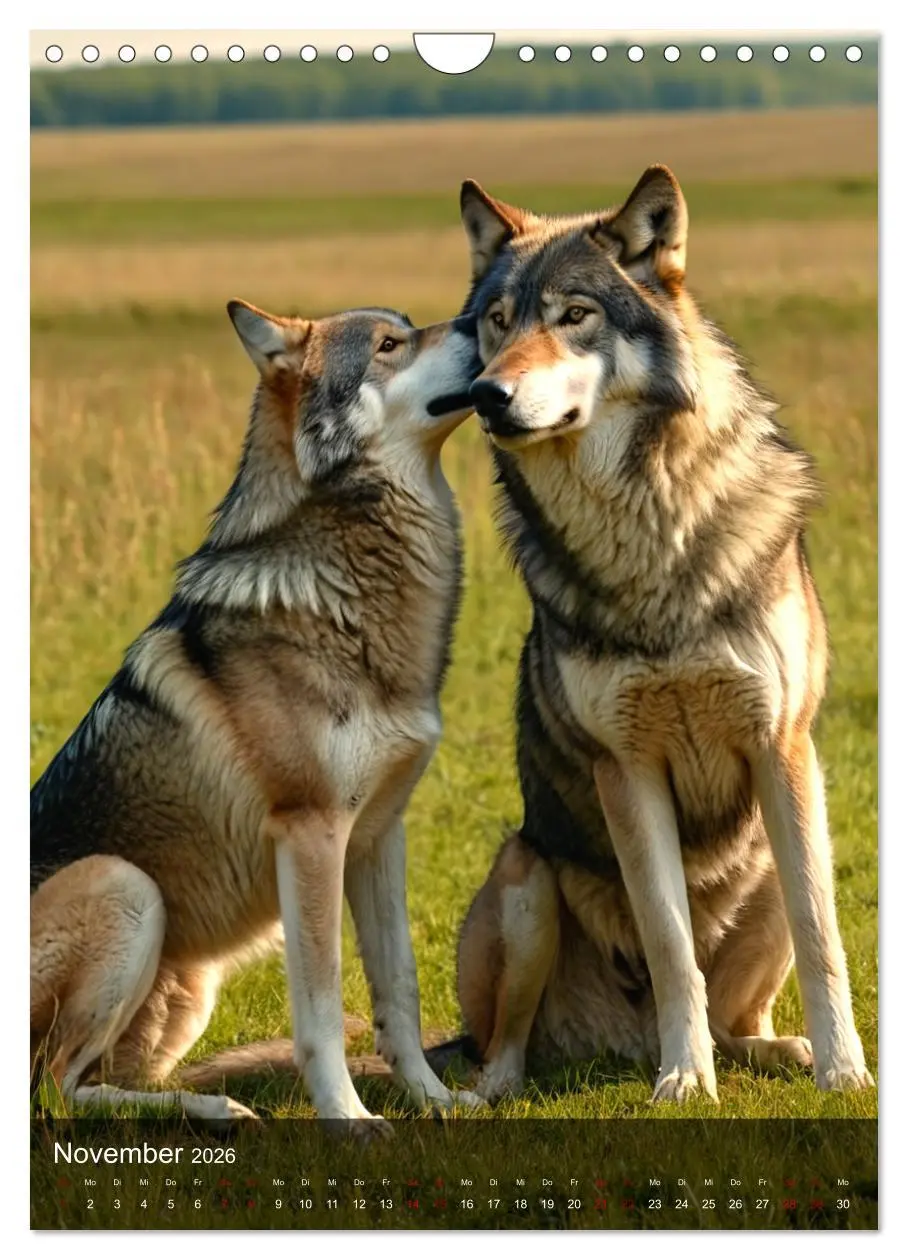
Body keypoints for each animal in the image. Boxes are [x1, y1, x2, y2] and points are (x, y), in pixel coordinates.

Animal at [31, 299, 483, 1132]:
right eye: (389, 345)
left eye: (408, 325)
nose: (486, 313)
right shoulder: (313, 835)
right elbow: (322, 1006)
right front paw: (350, 1120)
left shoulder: (379, 837)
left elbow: (399, 988)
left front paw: (433, 1100)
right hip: (125, 886)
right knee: (53, 1089)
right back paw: (217, 1110)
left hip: (190, 988)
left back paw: (214, 1105)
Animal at [445, 166, 873, 1104]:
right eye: (498, 321)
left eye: (575, 315)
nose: (488, 394)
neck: (649, 536)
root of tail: (617, 1046)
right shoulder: (627, 769)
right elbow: (673, 945)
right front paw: (684, 1082)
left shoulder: (783, 747)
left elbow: (823, 936)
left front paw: (846, 1072)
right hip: (525, 878)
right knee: (502, 1050)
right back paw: (497, 1090)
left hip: (771, 861)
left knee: (746, 1018)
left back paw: (782, 1053)